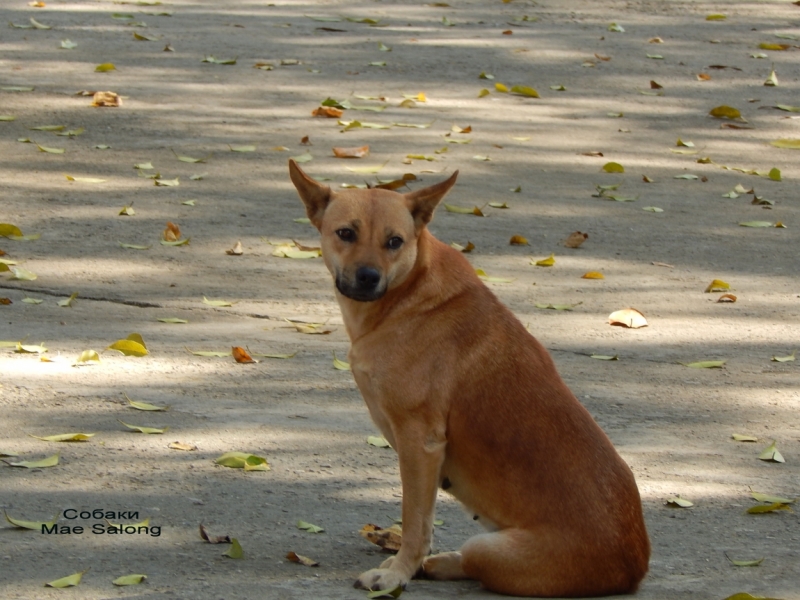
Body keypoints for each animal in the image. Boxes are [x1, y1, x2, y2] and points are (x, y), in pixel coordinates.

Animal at [290, 159, 652, 596]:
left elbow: (415, 523)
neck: (407, 295)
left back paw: (436, 564)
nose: (368, 276)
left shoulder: (420, 444)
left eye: (395, 241)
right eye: (346, 233)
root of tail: (634, 568)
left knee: (472, 560)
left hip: (487, 546)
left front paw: (399, 573)